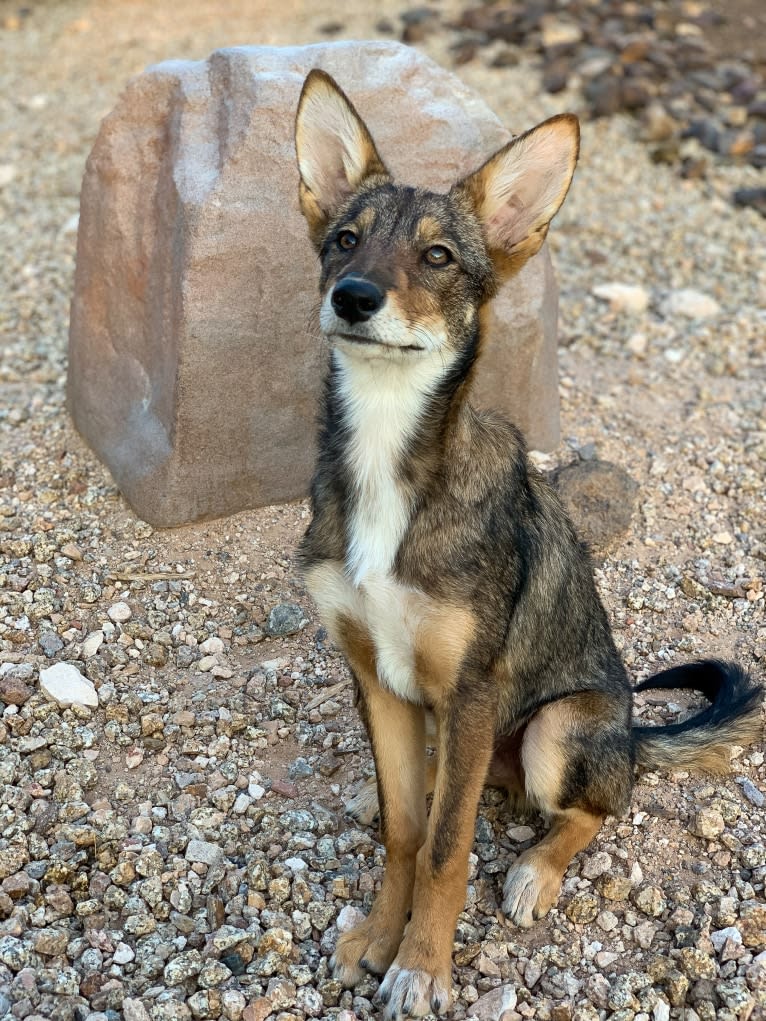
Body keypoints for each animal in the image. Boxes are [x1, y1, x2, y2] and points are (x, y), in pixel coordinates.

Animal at [292, 67, 763, 1016]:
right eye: (345, 239)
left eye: (439, 257)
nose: (352, 296)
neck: (392, 458)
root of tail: (631, 732)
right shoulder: (376, 678)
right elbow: (406, 830)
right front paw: (379, 935)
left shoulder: (473, 690)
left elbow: (445, 847)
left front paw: (422, 966)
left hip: (555, 730)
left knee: (593, 806)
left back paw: (537, 870)